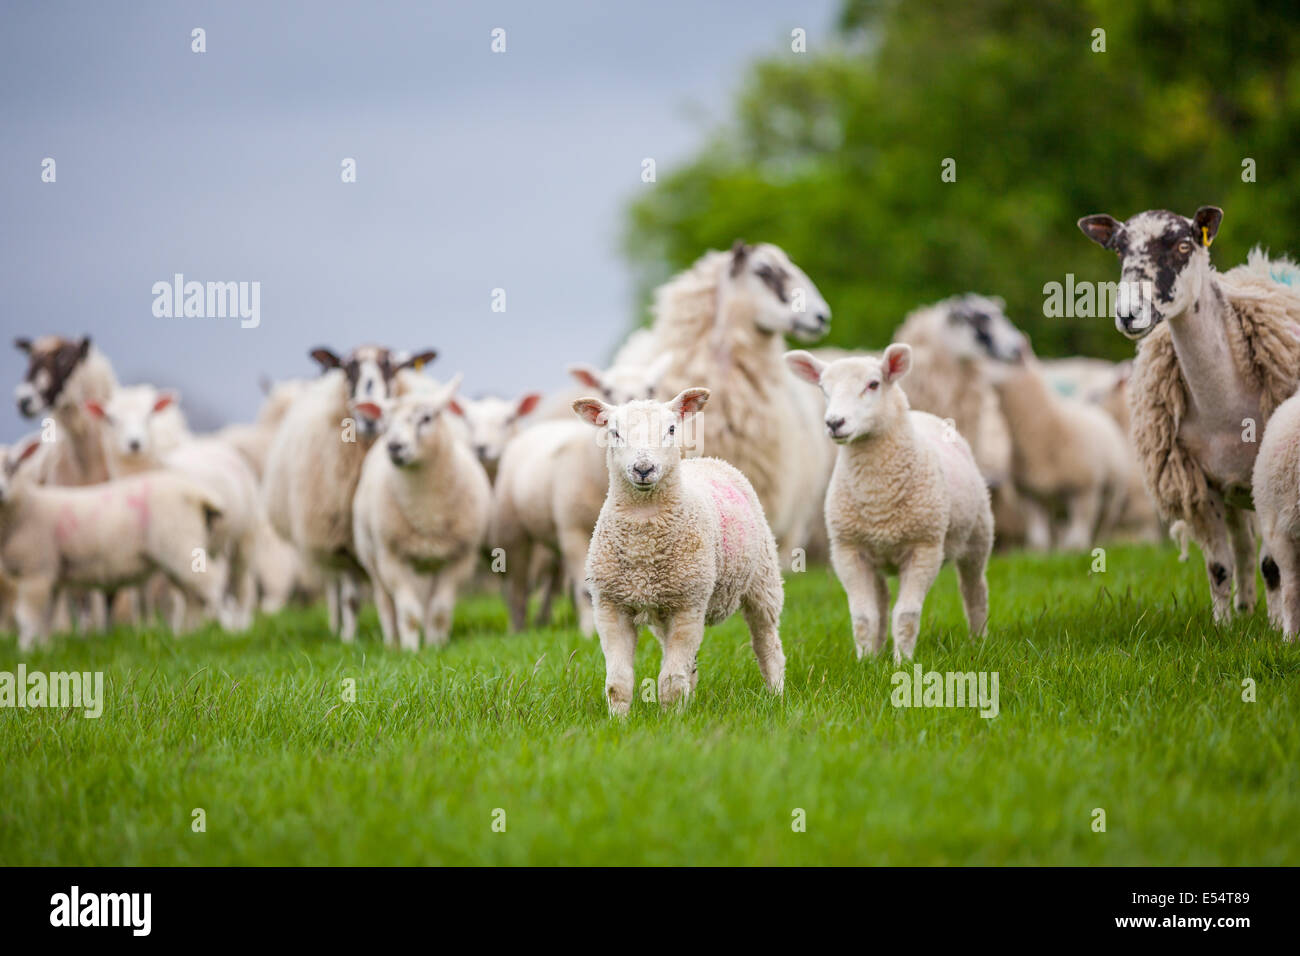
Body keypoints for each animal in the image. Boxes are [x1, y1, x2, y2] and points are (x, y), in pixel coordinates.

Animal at [0, 434, 226, 650]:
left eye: (12, 468)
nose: (1, 492)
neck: (28, 507)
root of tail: (198, 494)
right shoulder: (50, 576)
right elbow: (45, 617)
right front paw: (44, 648)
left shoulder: (35, 573)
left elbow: (27, 617)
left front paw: (26, 649)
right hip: (176, 554)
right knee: (193, 596)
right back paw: (189, 634)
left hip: (181, 547)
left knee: (212, 583)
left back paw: (224, 629)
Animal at [262, 345, 436, 641]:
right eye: (348, 369)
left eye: (392, 368)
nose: (369, 418)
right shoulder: (340, 541)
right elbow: (352, 598)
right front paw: (349, 640)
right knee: (335, 589)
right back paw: (337, 627)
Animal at [352, 375, 492, 650]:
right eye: (385, 423)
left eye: (426, 418)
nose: (395, 446)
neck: (427, 511)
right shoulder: (392, 558)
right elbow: (408, 612)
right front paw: (410, 650)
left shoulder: (459, 558)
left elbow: (439, 610)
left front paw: (436, 646)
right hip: (371, 556)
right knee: (385, 602)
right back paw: (392, 642)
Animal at [571, 387, 785, 714]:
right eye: (614, 432)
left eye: (671, 429)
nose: (643, 469)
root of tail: (710, 460)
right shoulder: (610, 606)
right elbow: (618, 682)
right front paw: (619, 719)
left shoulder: (689, 605)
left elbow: (671, 682)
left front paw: (672, 719)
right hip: (666, 605)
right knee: (690, 662)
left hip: (763, 580)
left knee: (767, 642)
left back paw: (776, 694)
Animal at [785, 346, 992, 662]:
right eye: (823, 388)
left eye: (873, 384)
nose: (834, 423)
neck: (877, 500)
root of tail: (922, 414)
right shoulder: (848, 551)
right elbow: (863, 616)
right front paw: (864, 662)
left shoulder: (924, 548)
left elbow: (906, 615)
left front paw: (902, 662)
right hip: (876, 553)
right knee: (881, 601)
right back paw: (878, 651)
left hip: (978, 534)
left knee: (974, 589)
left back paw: (978, 641)